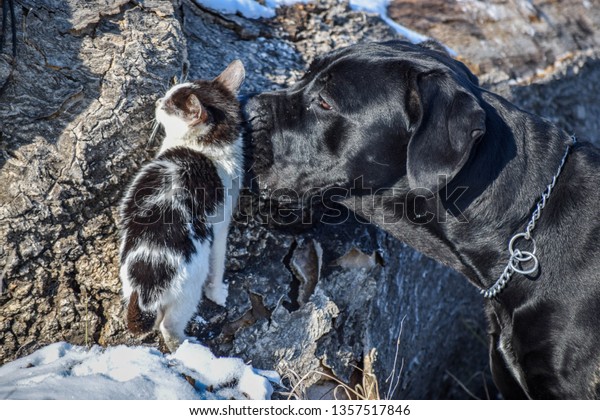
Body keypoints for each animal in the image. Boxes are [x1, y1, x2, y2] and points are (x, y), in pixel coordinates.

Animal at [118, 60, 245, 352]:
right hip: (188, 290)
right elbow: (218, 263)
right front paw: (218, 293)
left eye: (167, 105)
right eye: (166, 98)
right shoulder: (221, 226)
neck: (208, 148)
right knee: (168, 327)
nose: (156, 101)